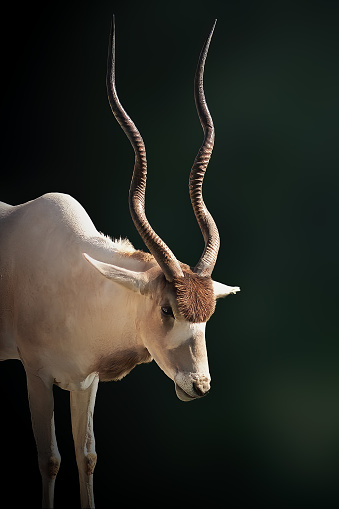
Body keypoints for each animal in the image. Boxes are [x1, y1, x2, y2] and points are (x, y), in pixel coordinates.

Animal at [0, 16, 240, 508]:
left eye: (208, 315)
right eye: (167, 308)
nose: (199, 385)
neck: (74, 277)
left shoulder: (84, 382)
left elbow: (86, 455)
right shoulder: (36, 374)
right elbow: (50, 458)